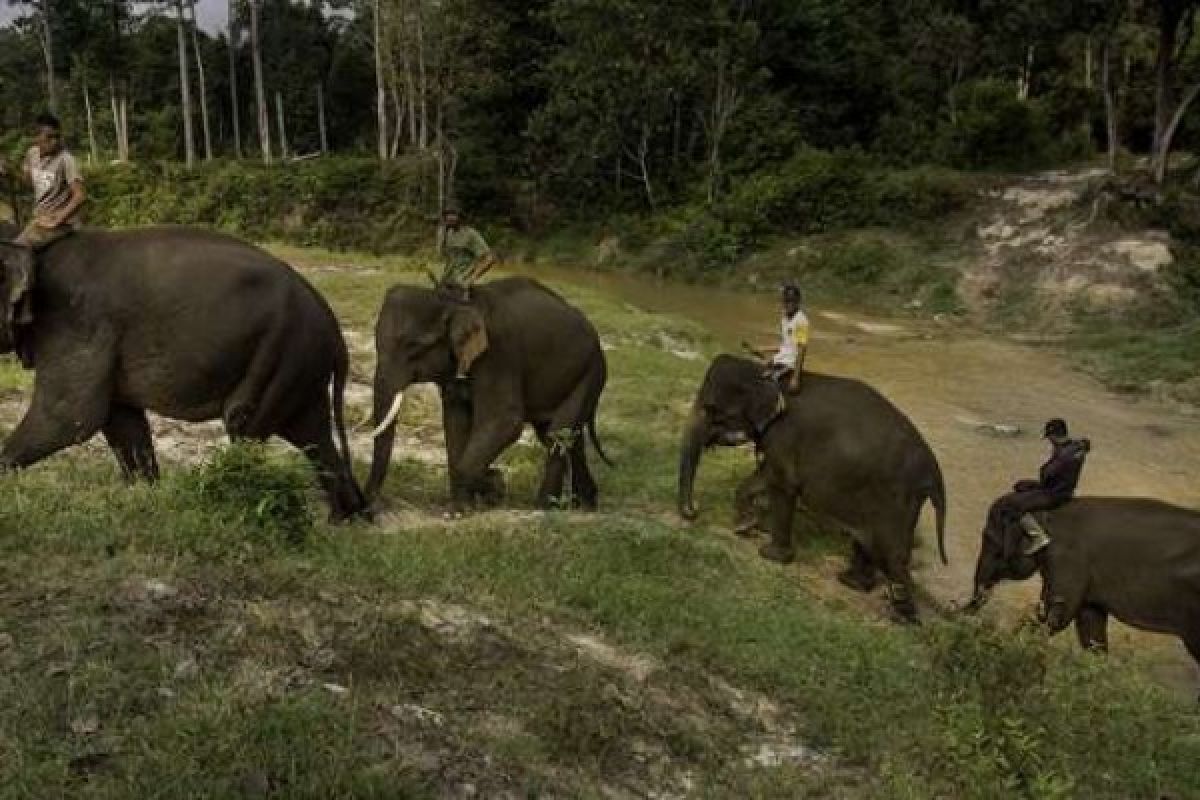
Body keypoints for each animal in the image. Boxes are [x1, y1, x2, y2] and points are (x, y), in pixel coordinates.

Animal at [0, 227, 367, 522]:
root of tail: (334, 328)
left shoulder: (77, 324)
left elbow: (71, 417)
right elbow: (121, 421)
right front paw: (145, 499)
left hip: (282, 352)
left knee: (244, 424)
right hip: (300, 364)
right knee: (312, 434)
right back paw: (345, 518)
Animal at [364, 278, 609, 510]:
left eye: (414, 345)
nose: (371, 510)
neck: (453, 302)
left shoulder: (498, 354)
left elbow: (505, 421)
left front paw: (495, 484)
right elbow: (455, 421)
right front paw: (463, 508)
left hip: (591, 372)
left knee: (559, 434)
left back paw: (546, 506)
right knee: (562, 437)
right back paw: (584, 504)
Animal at [676, 352, 945, 623]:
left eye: (711, 409)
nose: (693, 511)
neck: (765, 373)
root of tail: (934, 470)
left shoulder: (785, 435)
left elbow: (783, 484)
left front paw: (770, 555)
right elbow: (764, 476)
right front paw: (744, 527)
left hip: (896, 499)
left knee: (891, 554)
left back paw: (902, 619)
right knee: (868, 542)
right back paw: (851, 583)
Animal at [964, 496, 1200, 671]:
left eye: (990, 539)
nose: (960, 614)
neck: (1050, 511)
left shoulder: (1067, 560)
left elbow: (1056, 617)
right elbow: (1090, 627)